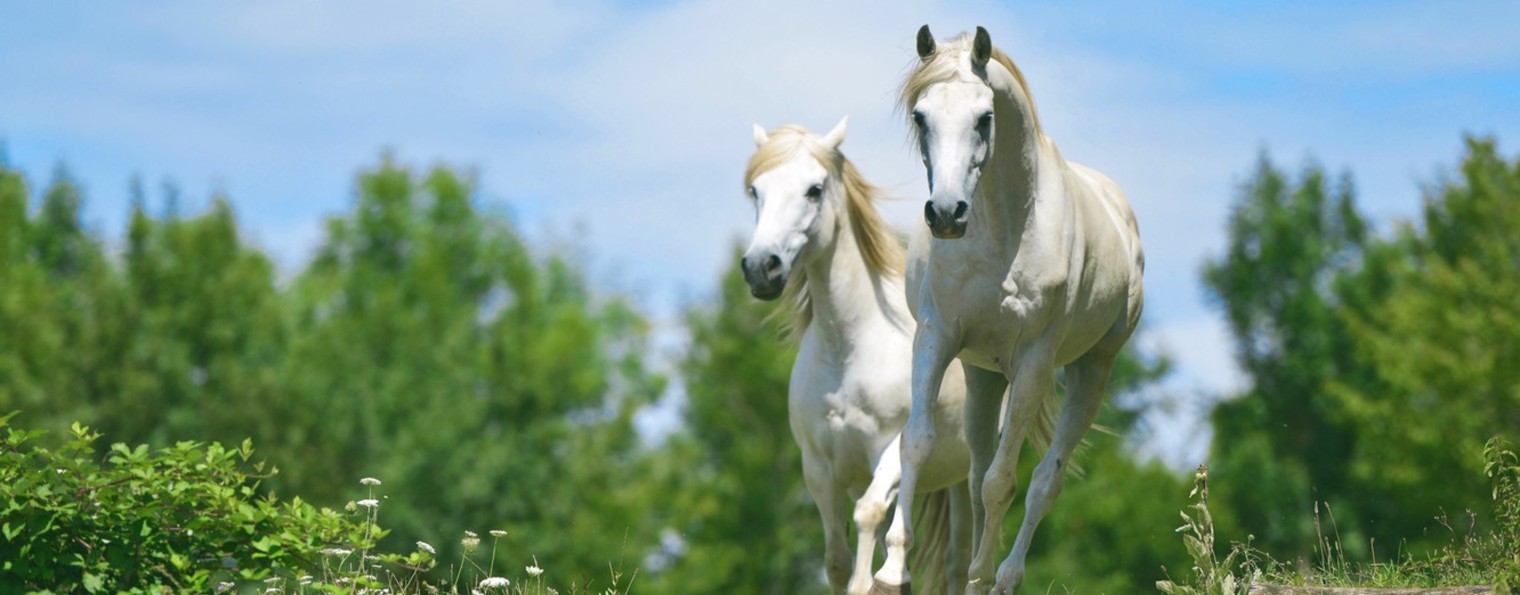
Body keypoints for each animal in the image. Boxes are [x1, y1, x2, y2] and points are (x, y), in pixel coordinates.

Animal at [738, 120, 978, 595]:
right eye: (756, 191)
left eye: (814, 190)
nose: (761, 268)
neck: (848, 351)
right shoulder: (819, 467)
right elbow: (836, 557)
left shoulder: (888, 452)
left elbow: (868, 516)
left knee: (961, 556)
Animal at [887, 24, 1143, 595]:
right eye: (920, 116)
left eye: (985, 117)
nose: (946, 214)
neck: (1002, 227)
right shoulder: (935, 339)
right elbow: (917, 443)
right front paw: (892, 569)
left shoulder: (1033, 363)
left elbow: (1003, 481)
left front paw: (982, 573)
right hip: (984, 378)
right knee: (977, 471)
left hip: (1091, 369)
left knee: (1044, 480)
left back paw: (1001, 577)